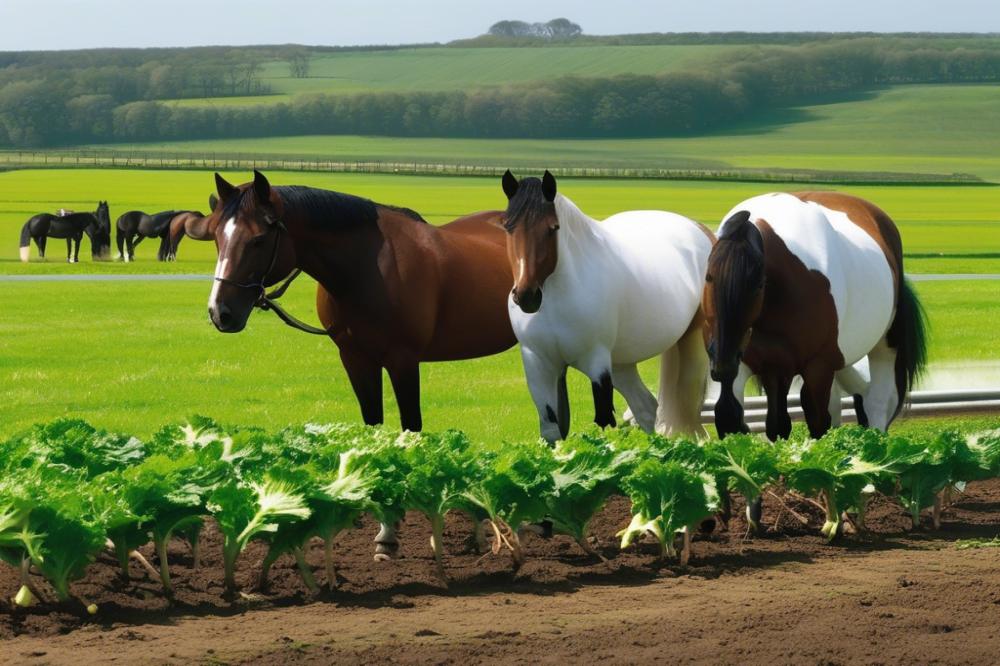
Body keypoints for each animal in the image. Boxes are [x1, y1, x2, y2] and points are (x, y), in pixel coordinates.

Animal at [203, 170, 516, 556]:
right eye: (217, 235)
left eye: (259, 239)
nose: (220, 312)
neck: (367, 268)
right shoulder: (356, 360)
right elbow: (373, 431)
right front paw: (385, 527)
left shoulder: (402, 360)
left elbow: (410, 430)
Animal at [504, 170, 716, 440]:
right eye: (508, 227)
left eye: (553, 228)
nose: (526, 296)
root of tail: (700, 229)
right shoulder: (539, 365)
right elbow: (551, 428)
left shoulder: (597, 363)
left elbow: (603, 421)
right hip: (622, 363)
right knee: (647, 408)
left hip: (693, 342)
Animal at [704, 191, 928, 440]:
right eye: (709, 277)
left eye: (758, 284)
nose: (721, 365)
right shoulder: (761, 365)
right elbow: (736, 416)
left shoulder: (817, 366)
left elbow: (817, 421)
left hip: (884, 347)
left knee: (877, 402)